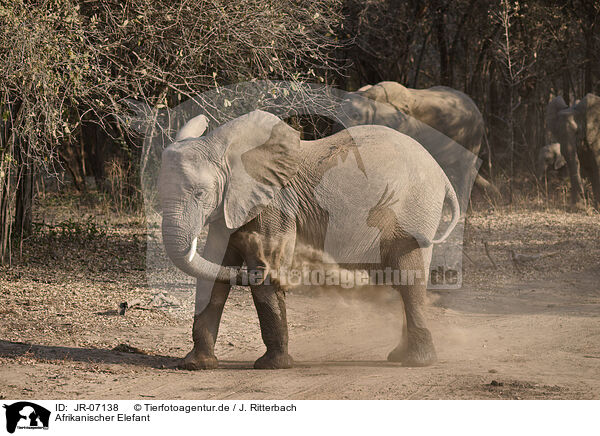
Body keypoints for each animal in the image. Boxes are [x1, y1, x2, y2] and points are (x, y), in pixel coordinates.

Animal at [159, 110, 460, 370]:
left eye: (199, 193)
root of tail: (443, 177)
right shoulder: (231, 206)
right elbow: (213, 269)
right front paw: (195, 365)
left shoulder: (273, 204)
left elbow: (263, 262)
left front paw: (272, 366)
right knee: (401, 280)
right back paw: (399, 356)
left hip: (414, 209)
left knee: (408, 277)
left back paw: (416, 362)